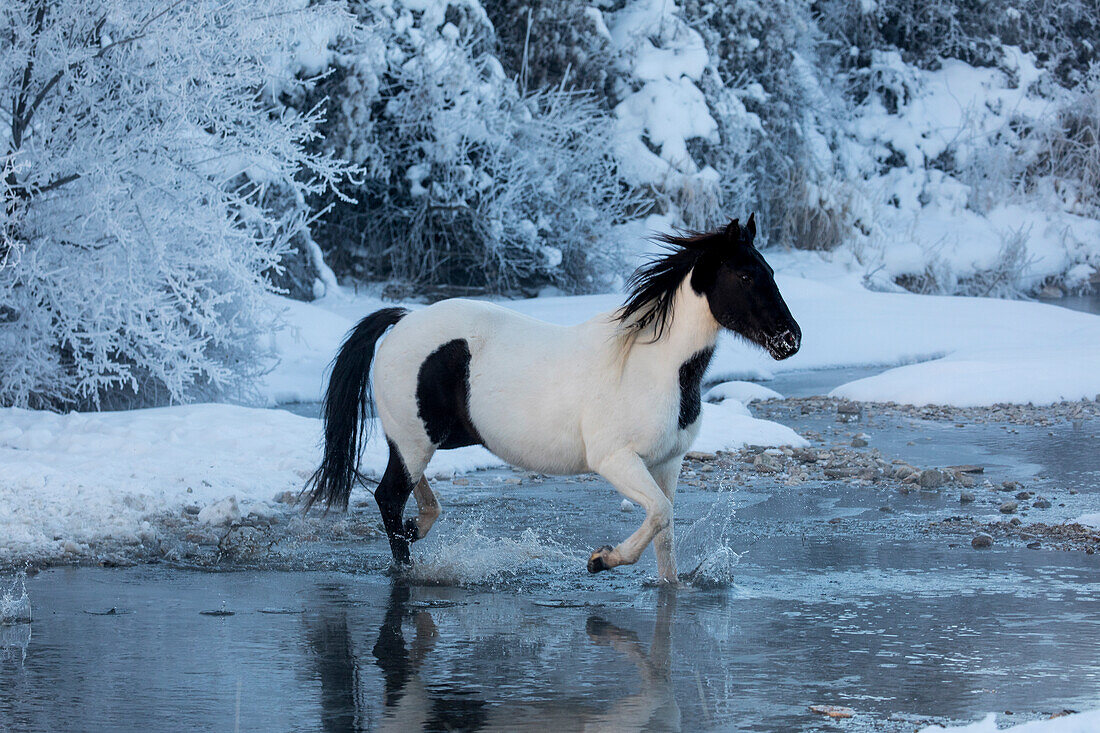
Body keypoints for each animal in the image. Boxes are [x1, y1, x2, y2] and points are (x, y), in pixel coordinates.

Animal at [305, 212, 805, 581]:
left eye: (770, 271)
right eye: (745, 275)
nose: (790, 339)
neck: (655, 368)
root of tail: (405, 318)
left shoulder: (668, 463)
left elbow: (665, 532)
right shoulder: (616, 460)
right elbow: (660, 514)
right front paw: (601, 559)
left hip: (427, 439)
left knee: (408, 494)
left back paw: (418, 529)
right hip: (417, 439)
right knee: (389, 496)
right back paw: (408, 567)